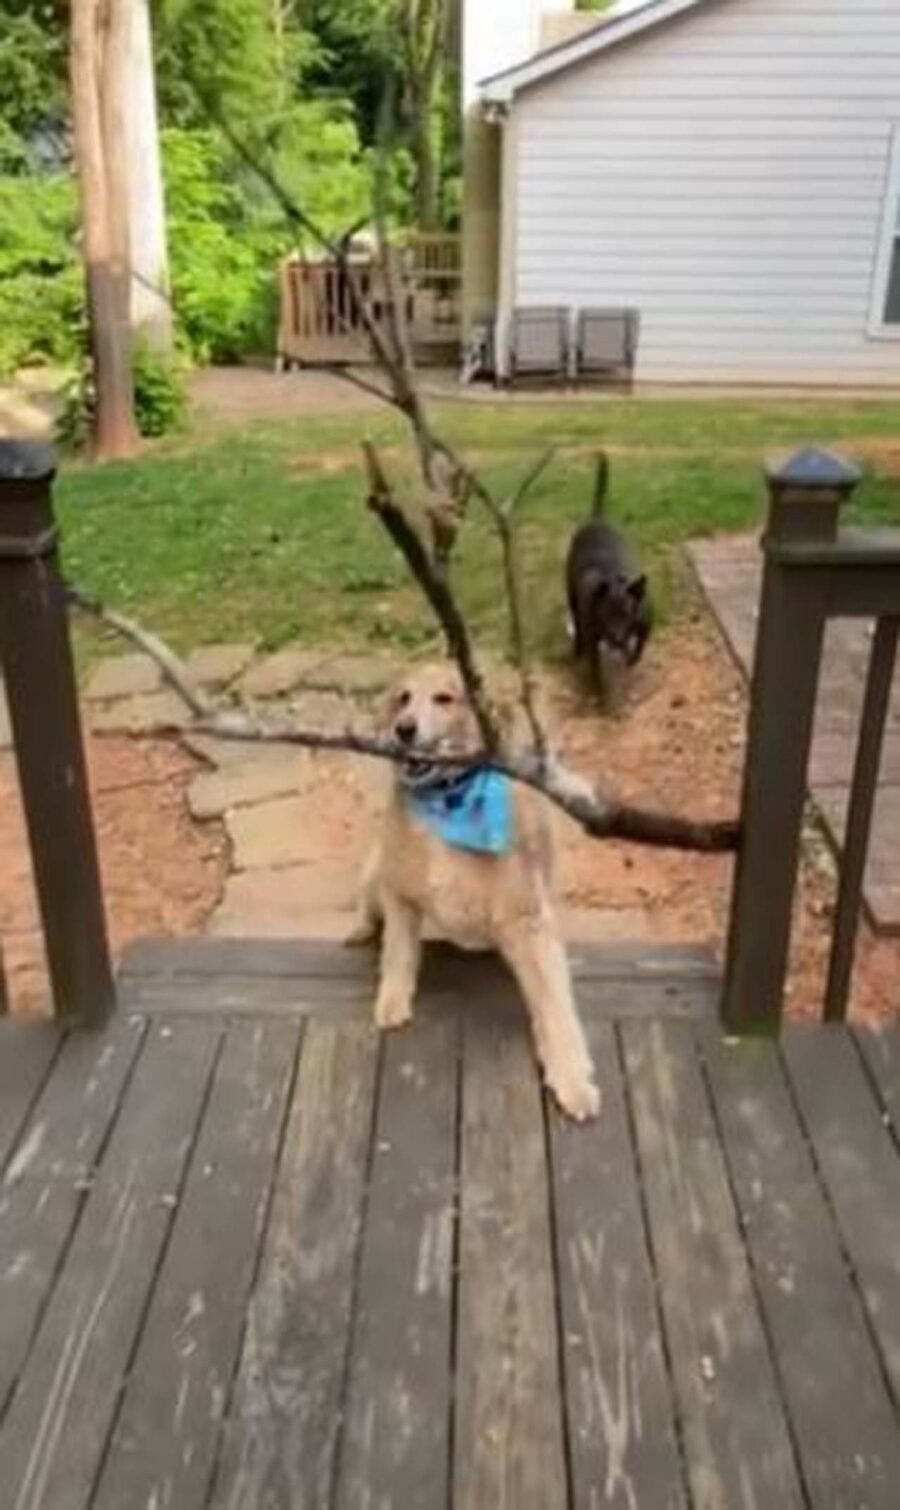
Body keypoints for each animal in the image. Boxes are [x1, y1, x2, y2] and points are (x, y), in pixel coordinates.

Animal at [354, 664, 601, 1123]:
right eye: (402, 698)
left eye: (445, 698)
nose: (403, 729)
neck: (450, 802)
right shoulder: (399, 893)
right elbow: (398, 953)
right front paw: (392, 1001)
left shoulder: (530, 923)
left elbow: (556, 1006)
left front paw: (572, 1079)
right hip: (376, 875)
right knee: (369, 906)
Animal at [564, 453, 649, 694]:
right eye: (606, 613)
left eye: (627, 612)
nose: (617, 638)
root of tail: (597, 518)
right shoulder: (594, 638)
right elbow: (596, 672)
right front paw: (601, 694)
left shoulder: (644, 623)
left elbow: (641, 645)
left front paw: (632, 658)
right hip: (572, 597)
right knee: (577, 626)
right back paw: (577, 651)